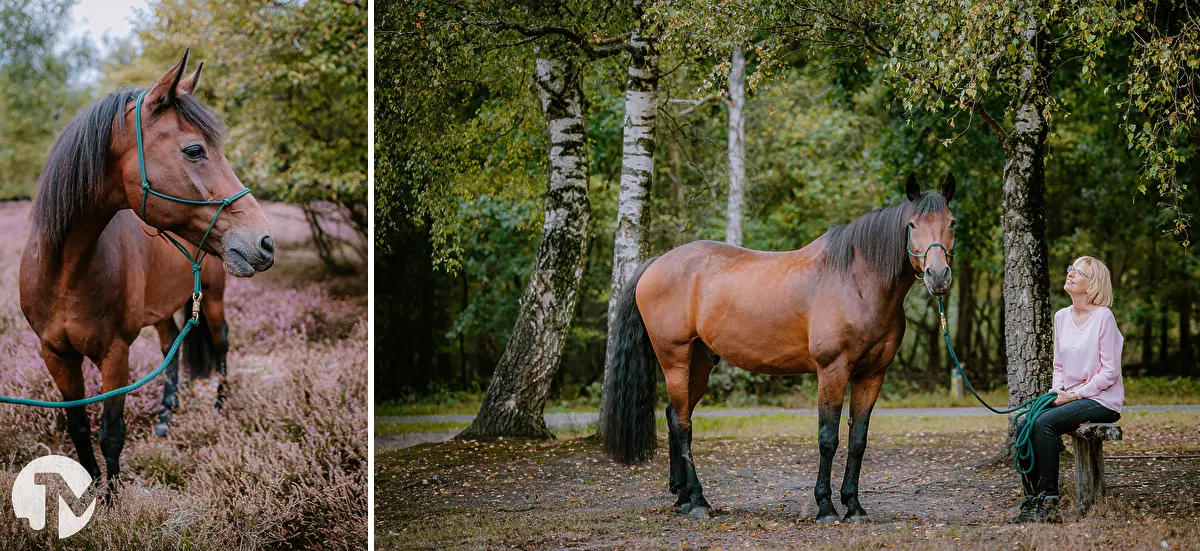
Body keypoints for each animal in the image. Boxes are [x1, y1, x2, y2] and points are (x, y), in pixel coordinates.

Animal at [17, 50, 275, 490]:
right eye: (194, 151)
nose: (265, 242)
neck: (65, 272)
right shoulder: (55, 354)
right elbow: (79, 427)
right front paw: (90, 492)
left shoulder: (115, 354)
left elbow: (111, 433)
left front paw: (112, 497)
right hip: (164, 308)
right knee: (171, 346)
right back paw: (166, 416)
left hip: (214, 298)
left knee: (221, 340)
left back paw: (220, 405)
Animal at [602, 173, 957, 522]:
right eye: (912, 225)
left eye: (952, 222)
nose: (938, 276)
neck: (857, 283)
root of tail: (656, 263)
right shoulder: (832, 370)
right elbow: (828, 438)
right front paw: (825, 507)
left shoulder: (872, 375)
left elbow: (858, 440)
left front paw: (854, 507)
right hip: (674, 359)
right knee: (682, 425)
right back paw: (700, 503)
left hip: (699, 362)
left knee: (675, 414)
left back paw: (683, 497)